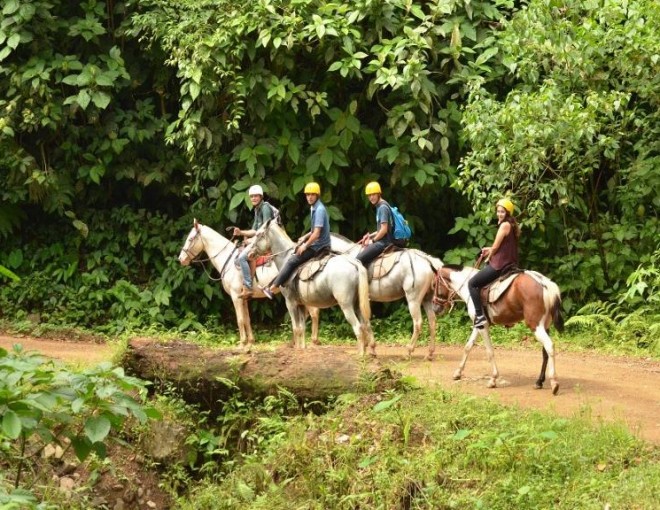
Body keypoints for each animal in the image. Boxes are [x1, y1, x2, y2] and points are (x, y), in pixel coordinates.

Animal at [175, 219, 320, 350]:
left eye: (190, 239)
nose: (181, 259)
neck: (228, 260)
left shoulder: (235, 296)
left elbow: (240, 320)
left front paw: (242, 344)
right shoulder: (243, 298)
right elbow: (247, 319)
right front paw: (250, 342)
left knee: (313, 313)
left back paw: (312, 342)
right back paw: (295, 343)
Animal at [246, 221, 376, 356]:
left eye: (259, 234)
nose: (249, 254)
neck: (285, 257)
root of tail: (353, 263)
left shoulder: (290, 303)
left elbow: (296, 328)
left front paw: (297, 349)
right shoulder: (302, 304)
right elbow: (302, 328)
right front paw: (302, 348)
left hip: (346, 305)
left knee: (358, 327)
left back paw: (360, 354)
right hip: (357, 304)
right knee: (365, 324)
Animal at [434, 264, 564, 396]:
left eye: (434, 285)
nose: (436, 308)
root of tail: (545, 284)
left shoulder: (483, 326)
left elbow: (490, 352)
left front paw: (493, 379)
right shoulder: (477, 325)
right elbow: (468, 347)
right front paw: (458, 373)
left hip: (536, 326)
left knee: (549, 346)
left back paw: (554, 383)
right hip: (545, 326)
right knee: (545, 353)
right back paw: (539, 382)